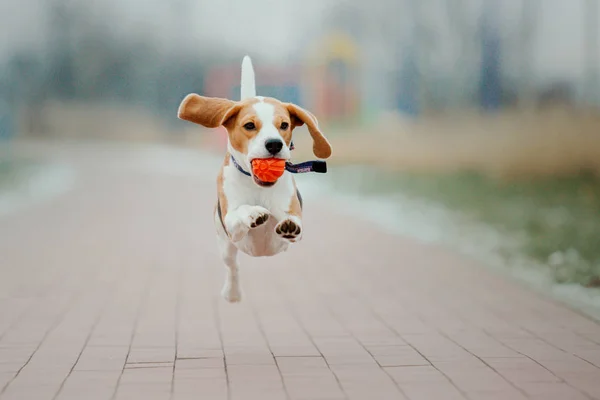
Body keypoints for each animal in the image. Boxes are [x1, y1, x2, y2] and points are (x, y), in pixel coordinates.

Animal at [177, 54, 332, 302]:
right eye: (249, 125)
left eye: (284, 125)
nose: (274, 144)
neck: (258, 186)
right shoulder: (231, 224)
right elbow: (241, 211)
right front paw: (253, 213)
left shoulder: (290, 228)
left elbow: (293, 223)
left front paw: (289, 224)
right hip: (225, 246)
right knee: (233, 267)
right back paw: (232, 293)